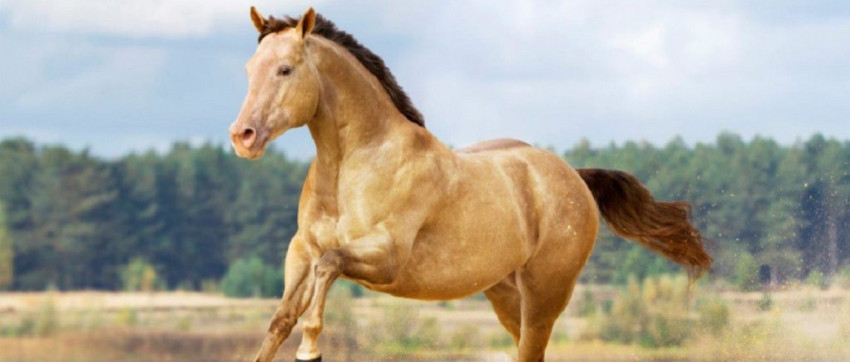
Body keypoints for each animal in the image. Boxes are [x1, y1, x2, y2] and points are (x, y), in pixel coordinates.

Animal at [227, 6, 708, 362]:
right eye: (250, 68)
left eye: (286, 69)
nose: (242, 136)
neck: (355, 164)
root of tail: (573, 177)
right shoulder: (301, 251)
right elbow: (281, 319)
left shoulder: (386, 258)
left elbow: (329, 267)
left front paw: (311, 348)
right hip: (504, 294)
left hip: (545, 295)